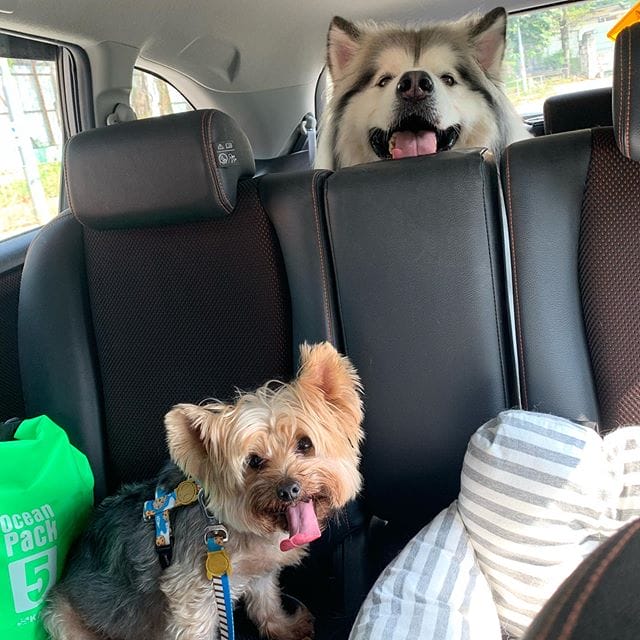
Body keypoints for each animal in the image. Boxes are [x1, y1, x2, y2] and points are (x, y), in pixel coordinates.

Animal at [42, 342, 364, 640]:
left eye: (305, 444)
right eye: (253, 461)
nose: (289, 489)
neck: (222, 526)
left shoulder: (258, 571)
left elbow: (266, 601)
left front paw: (284, 628)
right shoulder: (193, 593)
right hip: (61, 618)